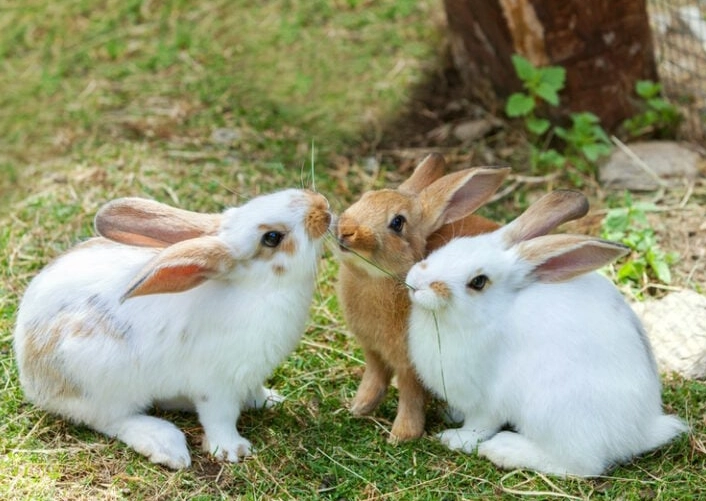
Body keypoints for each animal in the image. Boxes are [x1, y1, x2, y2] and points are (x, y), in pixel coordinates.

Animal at [13, 189, 331, 469]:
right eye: (272, 237)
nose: (323, 207)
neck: (258, 289)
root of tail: (30, 373)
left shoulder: (249, 376)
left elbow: (254, 392)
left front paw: (269, 401)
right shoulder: (217, 386)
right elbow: (220, 418)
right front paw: (232, 450)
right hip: (102, 381)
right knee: (110, 419)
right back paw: (165, 443)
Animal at [335, 153, 510, 441]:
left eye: (397, 222)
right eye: (366, 196)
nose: (346, 230)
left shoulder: (413, 366)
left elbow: (411, 397)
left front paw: (402, 435)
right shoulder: (373, 351)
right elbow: (374, 379)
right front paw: (358, 407)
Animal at [405, 190, 688, 476]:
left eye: (478, 282)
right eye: (453, 245)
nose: (415, 283)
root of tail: (642, 430)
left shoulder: (486, 398)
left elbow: (479, 426)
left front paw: (454, 439)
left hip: (552, 410)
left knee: (579, 464)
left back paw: (504, 449)